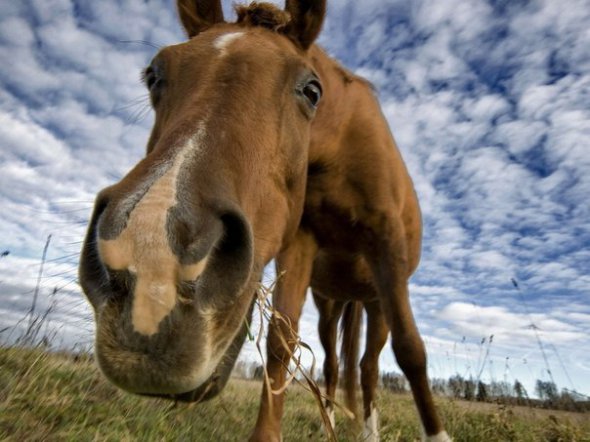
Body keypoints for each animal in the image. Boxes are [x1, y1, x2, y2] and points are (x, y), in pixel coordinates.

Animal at [77, 1, 448, 440]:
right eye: (154, 75)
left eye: (312, 90)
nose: (152, 270)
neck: (340, 147)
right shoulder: (299, 243)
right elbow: (281, 344)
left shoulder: (387, 246)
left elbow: (411, 350)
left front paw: (437, 434)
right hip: (331, 303)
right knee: (334, 363)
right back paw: (329, 421)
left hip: (376, 302)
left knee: (369, 365)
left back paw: (367, 430)